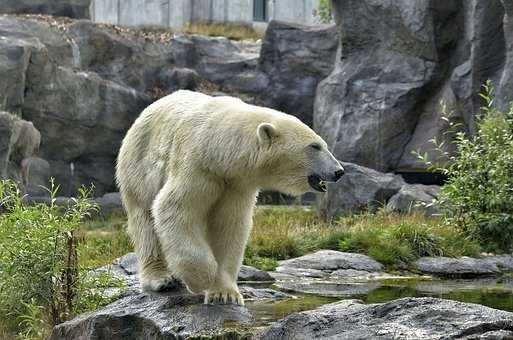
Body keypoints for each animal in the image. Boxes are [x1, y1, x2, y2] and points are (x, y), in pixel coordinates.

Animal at [116, 90, 344, 306]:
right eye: (315, 146)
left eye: (322, 144)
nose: (339, 171)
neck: (219, 149)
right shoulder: (197, 167)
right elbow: (174, 210)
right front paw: (201, 278)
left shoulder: (236, 184)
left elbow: (229, 226)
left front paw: (224, 294)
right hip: (138, 167)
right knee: (145, 222)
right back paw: (160, 279)